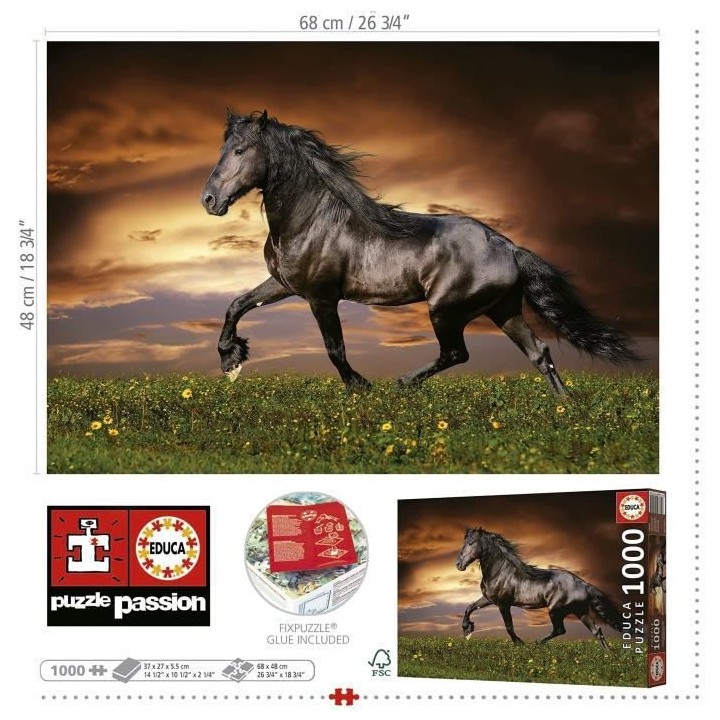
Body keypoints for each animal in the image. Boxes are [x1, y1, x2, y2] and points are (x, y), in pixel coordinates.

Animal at [201, 110, 638, 393]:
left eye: (240, 151)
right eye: (223, 149)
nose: (209, 200)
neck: (311, 219)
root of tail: (510, 247)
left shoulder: (321, 297)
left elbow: (334, 349)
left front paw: (362, 387)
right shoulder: (285, 284)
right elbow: (237, 305)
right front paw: (230, 358)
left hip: (446, 309)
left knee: (457, 353)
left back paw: (403, 384)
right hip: (503, 309)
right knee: (539, 352)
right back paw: (564, 409)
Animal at [455, 527, 623, 648]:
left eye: (471, 543)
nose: (458, 564)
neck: (500, 572)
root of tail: (583, 584)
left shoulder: (503, 604)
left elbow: (509, 627)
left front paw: (520, 644)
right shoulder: (488, 599)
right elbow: (469, 608)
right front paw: (467, 629)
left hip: (556, 610)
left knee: (560, 630)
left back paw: (537, 644)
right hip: (580, 611)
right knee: (596, 631)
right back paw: (608, 656)